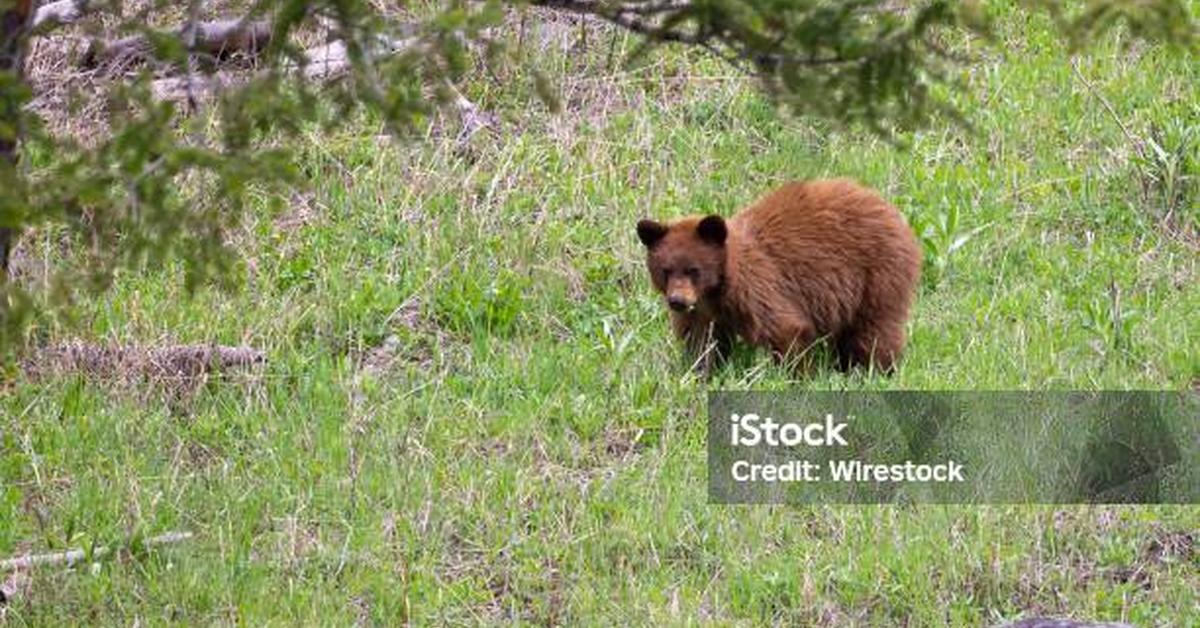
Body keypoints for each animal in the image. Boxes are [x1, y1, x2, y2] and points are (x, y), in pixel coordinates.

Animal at [638, 177, 916, 374]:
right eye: (665, 270)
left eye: (694, 270)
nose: (677, 301)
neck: (717, 290)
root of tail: (892, 211)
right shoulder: (702, 313)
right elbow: (702, 342)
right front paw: (700, 372)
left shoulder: (757, 287)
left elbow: (786, 330)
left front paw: (795, 376)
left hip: (878, 275)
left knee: (875, 329)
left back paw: (873, 370)